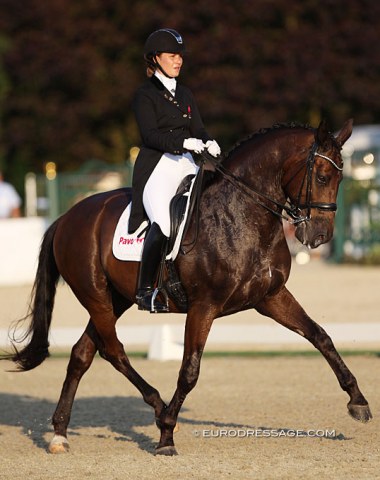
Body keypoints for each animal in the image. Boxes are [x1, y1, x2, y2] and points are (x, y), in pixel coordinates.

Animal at [1, 119, 372, 454]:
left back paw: (60, 434)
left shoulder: (271, 297)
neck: (242, 216)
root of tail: (67, 216)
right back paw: (157, 408)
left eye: (341, 178)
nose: (319, 236)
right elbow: (189, 371)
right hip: (96, 296)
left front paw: (358, 401)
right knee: (113, 351)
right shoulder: (203, 306)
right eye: (322, 177)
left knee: (83, 353)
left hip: (115, 299)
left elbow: (320, 336)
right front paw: (166, 436)